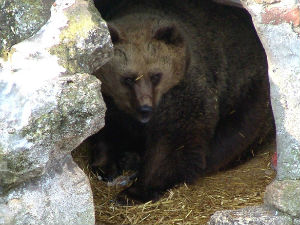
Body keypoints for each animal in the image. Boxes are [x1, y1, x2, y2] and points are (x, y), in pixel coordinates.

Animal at [90, 0, 274, 204]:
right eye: (128, 78)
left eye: (156, 75)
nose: (145, 109)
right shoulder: (110, 100)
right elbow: (107, 128)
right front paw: (105, 165)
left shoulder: (183, 92)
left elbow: (174, 141)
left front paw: (134, 192)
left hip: (246, 90)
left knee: (235, 134)